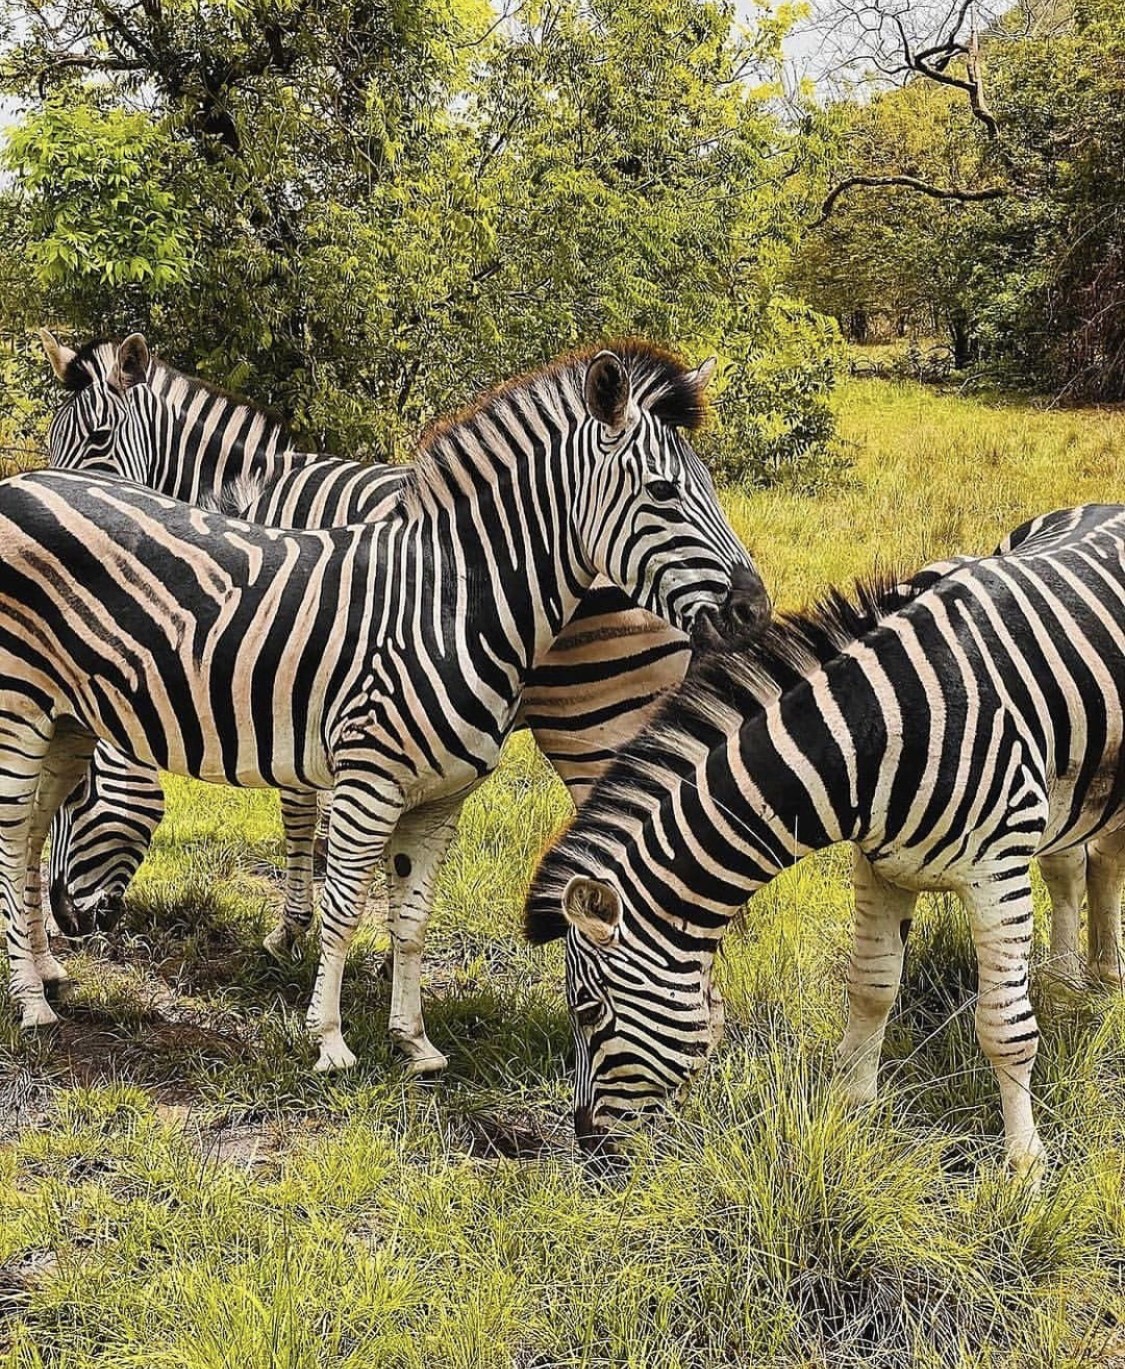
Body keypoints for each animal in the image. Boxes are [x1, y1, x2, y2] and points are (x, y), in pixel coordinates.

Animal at [0, 342, 766, 1078]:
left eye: (704, 488)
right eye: (663, 491)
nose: (753, 609)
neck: (453, 603)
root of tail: (23, 482)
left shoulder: (436, 794)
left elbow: (411, 916)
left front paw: (412, 1041)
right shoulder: (363, 774)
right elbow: (345, 901)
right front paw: (330, 1037)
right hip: (26, 704)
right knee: (16, 837)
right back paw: (33, 999)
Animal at [528, 509, 1125, 1182]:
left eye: (587, 1011)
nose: (590, 1151)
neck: (876, 733)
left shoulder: (996, 871)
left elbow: (1004, 1027)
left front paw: (1023, 1166)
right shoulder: (880, 866)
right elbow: (871, 989)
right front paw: (852, 1108)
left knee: (1097, 860)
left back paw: (1095, 976)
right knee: (1076, 865)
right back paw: (1077, 980)